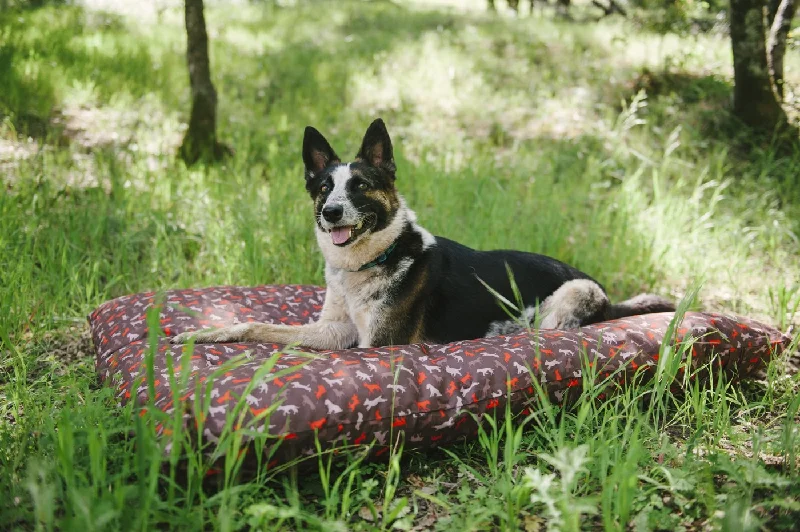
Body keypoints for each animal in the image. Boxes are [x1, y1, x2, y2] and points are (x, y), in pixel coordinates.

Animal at [170, 119, 676, 350]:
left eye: (360, 186)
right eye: (324, 188)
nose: (331, 213)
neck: (374, 258)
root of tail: (610, 296)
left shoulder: (374, 344)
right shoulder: (332, 330)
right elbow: (257, 326)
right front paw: (206, 333)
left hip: (568, 299)